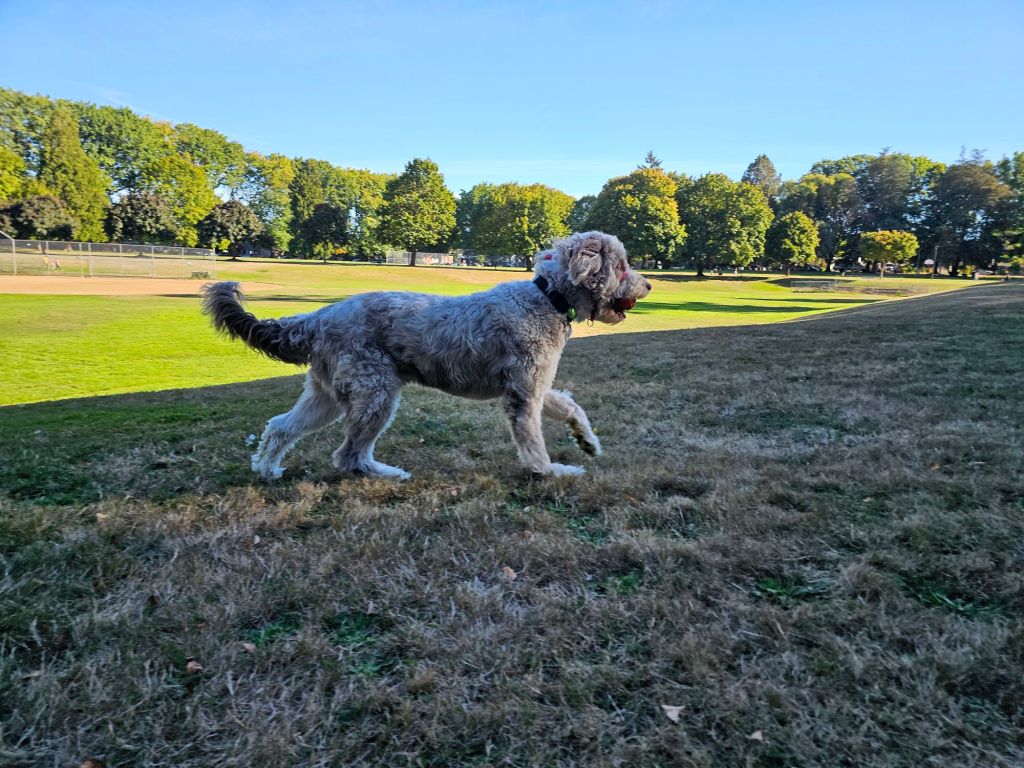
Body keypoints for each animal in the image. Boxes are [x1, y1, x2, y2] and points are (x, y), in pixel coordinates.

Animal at [202, 231, 651, 480]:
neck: (547, 298)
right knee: (348, 456)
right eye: (622, 266)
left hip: (327, 395)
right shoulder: (523, 396)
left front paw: (588, 442)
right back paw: (386, 474)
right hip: (375, 394)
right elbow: (533, 445)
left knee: (281, 427)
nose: (647, 286)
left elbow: (572, 406)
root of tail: (321, 316)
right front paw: (552, 471)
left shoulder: (535, 386)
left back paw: (267, 469)